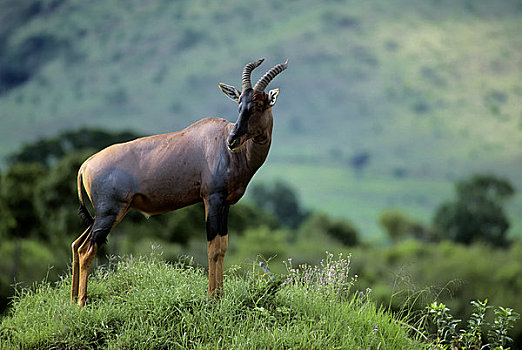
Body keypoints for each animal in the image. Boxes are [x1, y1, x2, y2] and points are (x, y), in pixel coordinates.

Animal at [69, 58, 286, 304]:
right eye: (239, 104)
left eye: (257, 105)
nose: (232, 141)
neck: (223, 144)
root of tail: (86, 165)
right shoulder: (212, 199)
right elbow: (213, 247)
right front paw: (212, 298)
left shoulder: (226, 204)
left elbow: (223, 246)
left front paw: (220, 296)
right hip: (110, 212)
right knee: (87, 250)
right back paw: (81, 303)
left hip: (101, 215)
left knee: (77, 245)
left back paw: (72, 300)